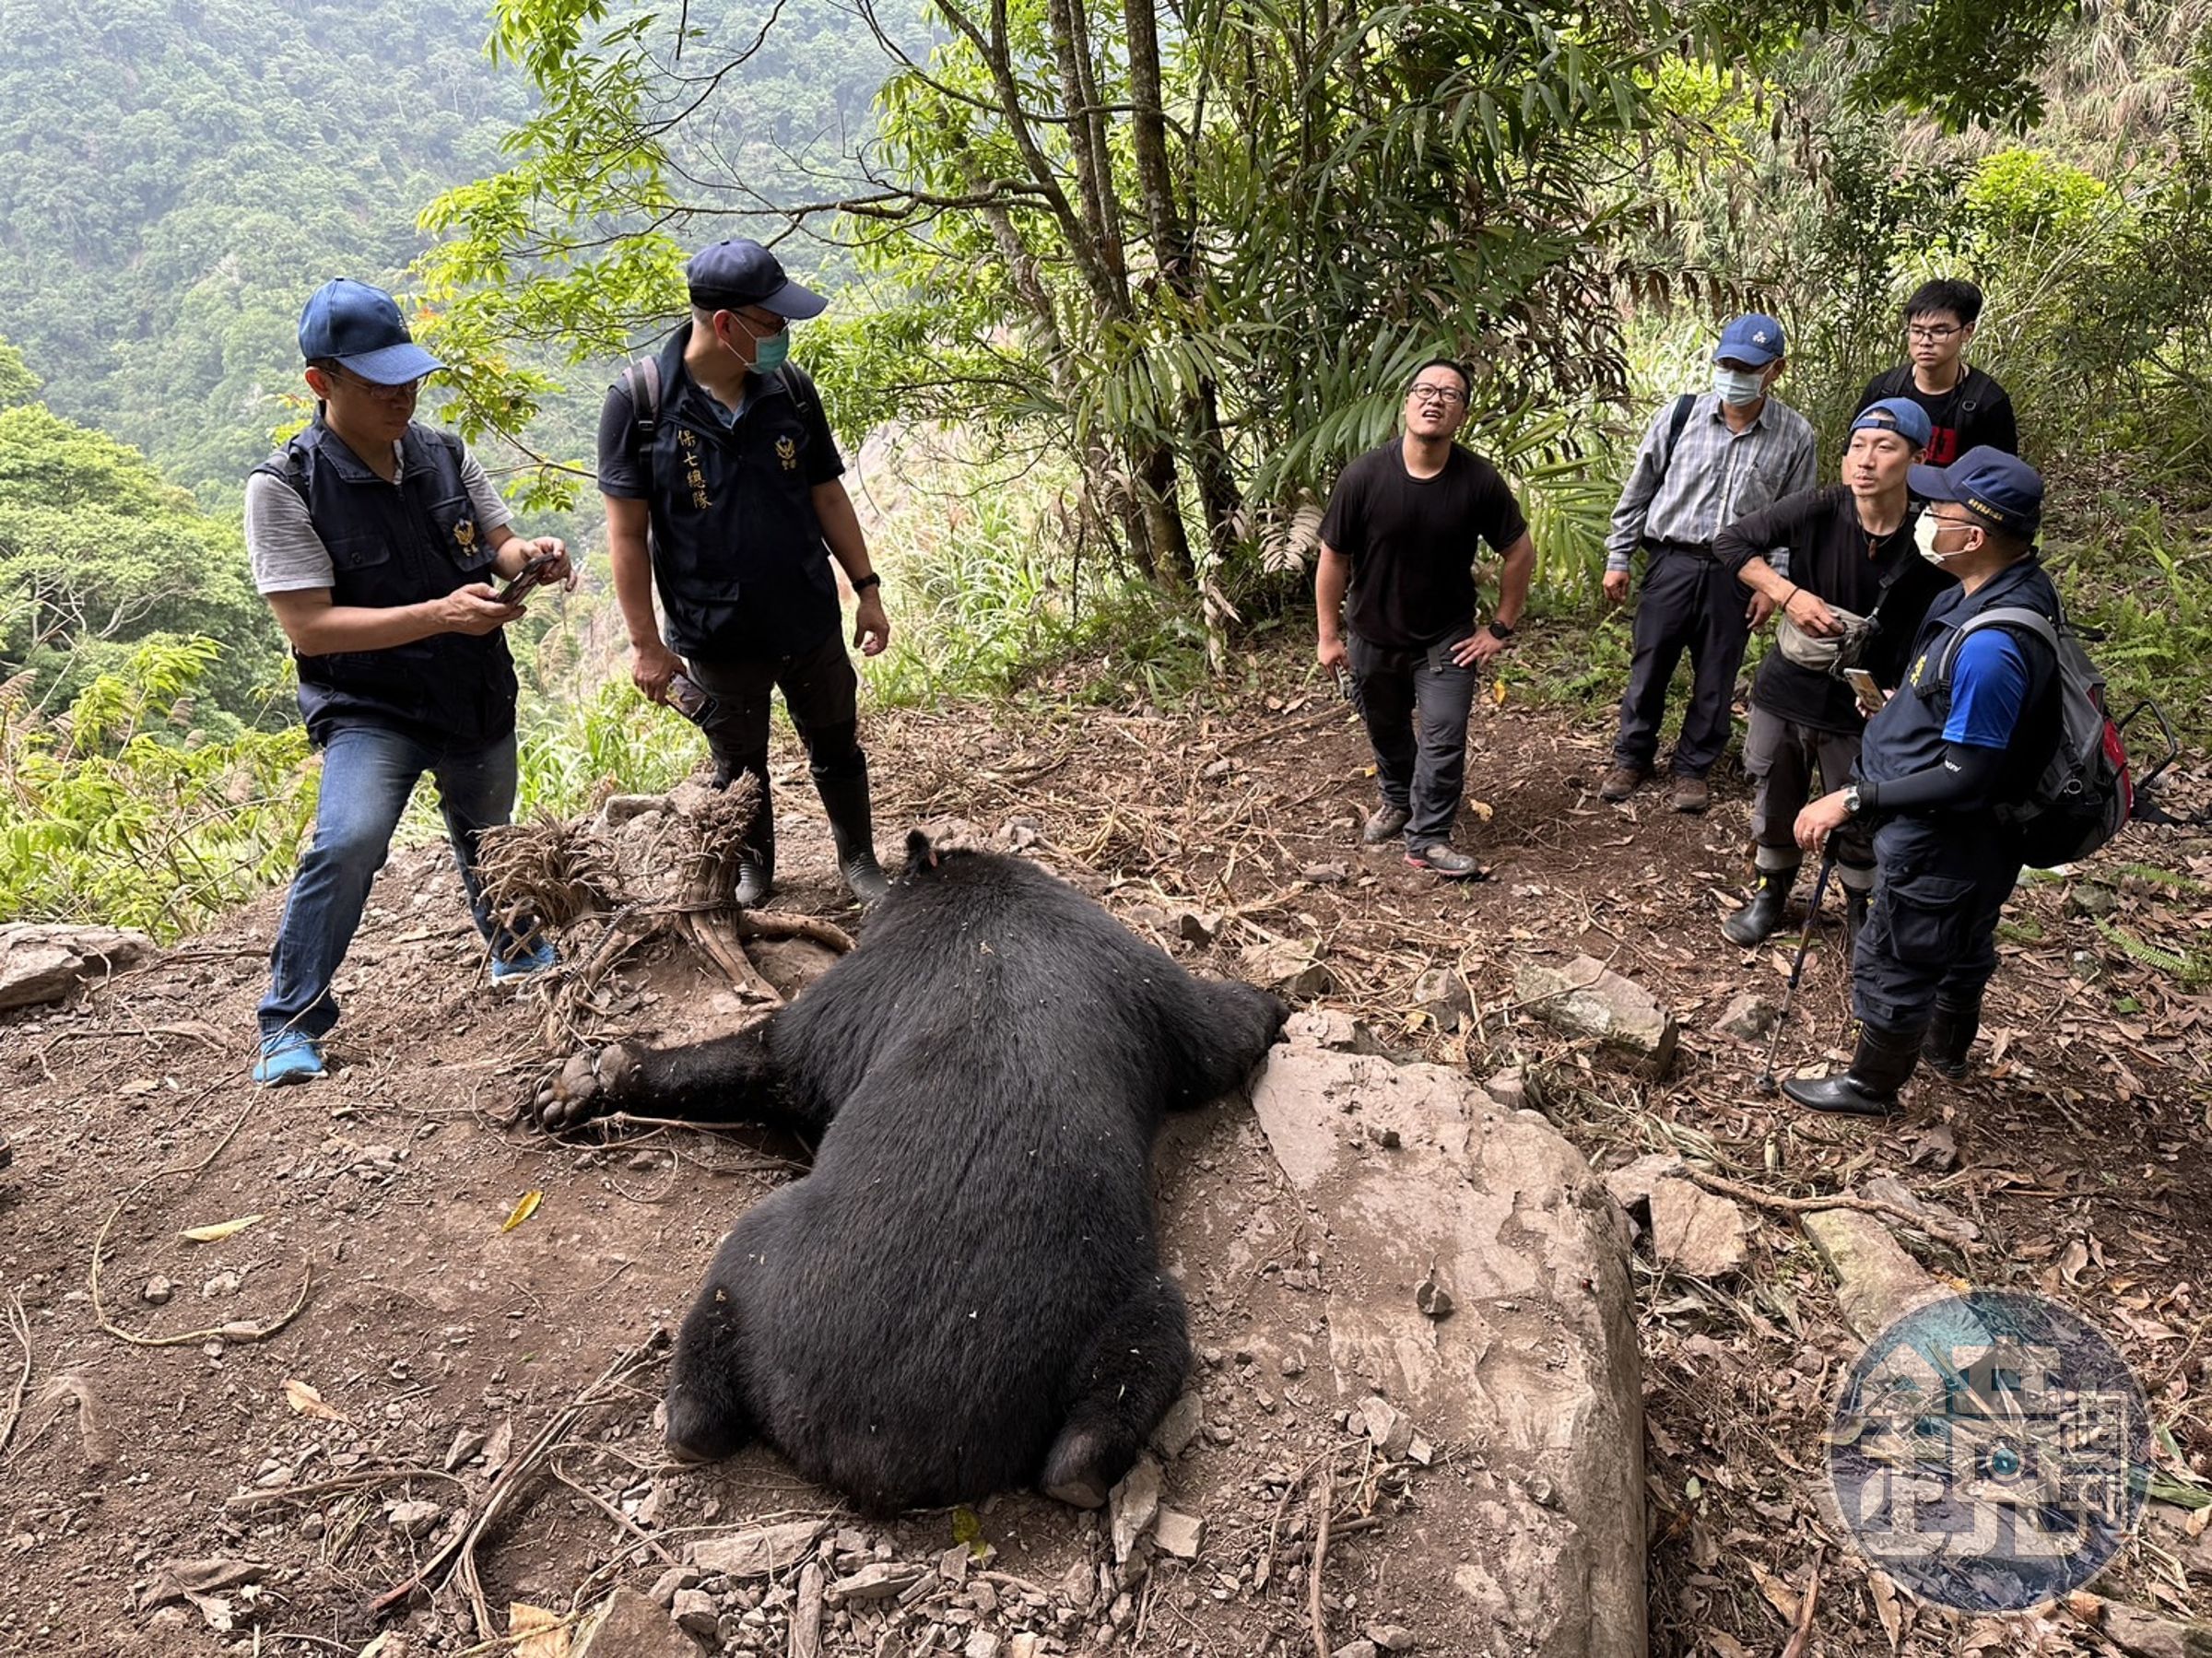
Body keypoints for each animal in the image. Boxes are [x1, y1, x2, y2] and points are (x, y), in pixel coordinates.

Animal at [531, 831, 1287, 1513]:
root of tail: (873, 1443)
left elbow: (774, 1055)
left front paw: (591, 1074)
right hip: (1119, 1318)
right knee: (1100, 1416)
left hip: (767, 1254)